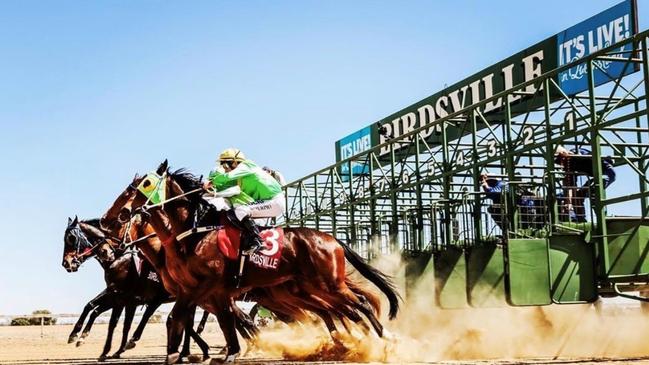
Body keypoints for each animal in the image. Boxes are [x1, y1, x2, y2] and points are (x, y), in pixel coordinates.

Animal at [100, 161, 400, 362]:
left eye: (140, 186)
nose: (107, 220)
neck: (192, 232)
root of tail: (332, 239)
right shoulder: (206, 293)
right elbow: (223, 323)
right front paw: (225, 352)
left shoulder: (205, 286)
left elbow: (180, 318)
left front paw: (179, 354)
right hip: (309, 290)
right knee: (337, 311)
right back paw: (349, 342)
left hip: (326, 285)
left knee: (356, 306)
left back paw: (384, 341)